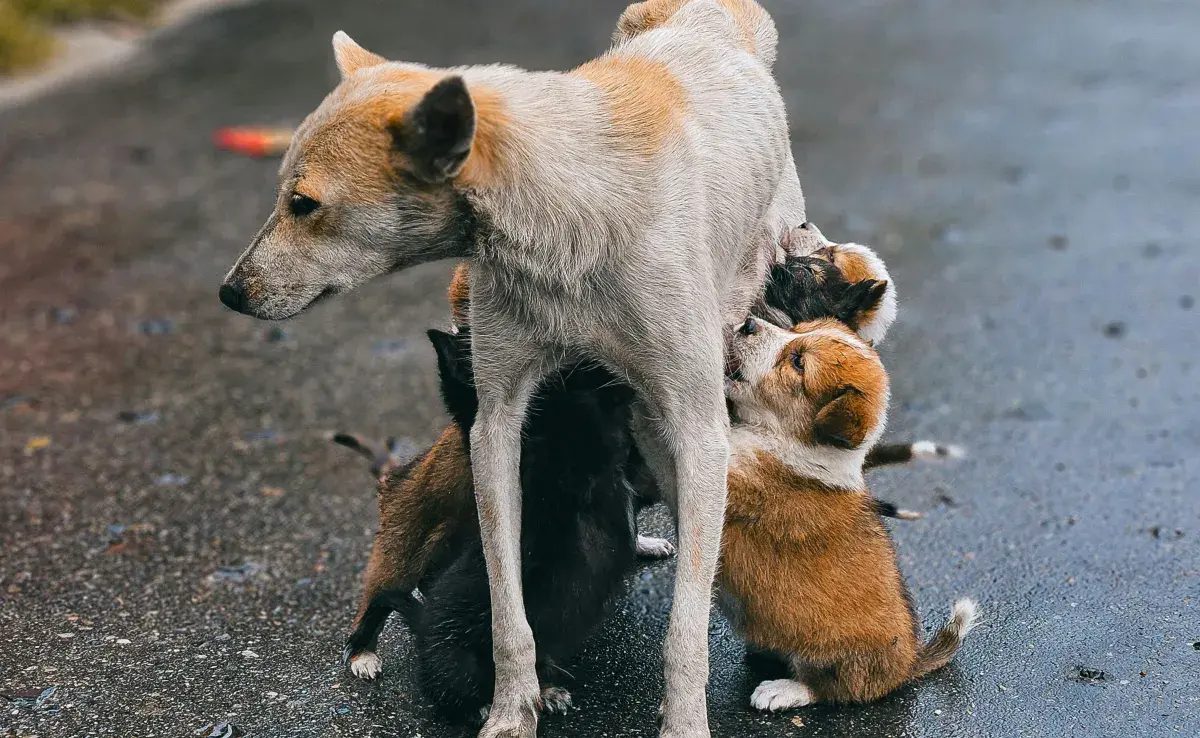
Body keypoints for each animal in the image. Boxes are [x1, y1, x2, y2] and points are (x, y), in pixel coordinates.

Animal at [223, 2, 806, 734]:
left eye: (303, 204)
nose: (229, 293)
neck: (565, 209)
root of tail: (706, 19)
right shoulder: (497, 425)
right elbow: (507, 607)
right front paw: (512, 706)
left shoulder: (699, 430)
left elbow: (686, 628)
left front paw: (684, 721)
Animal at [715, 316, 979, 710]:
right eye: (796, 328)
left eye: (798, 362)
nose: (748, 323)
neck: (784, 439)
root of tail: (908, 665)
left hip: (828, 655)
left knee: (831, 689)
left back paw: (780, 690)